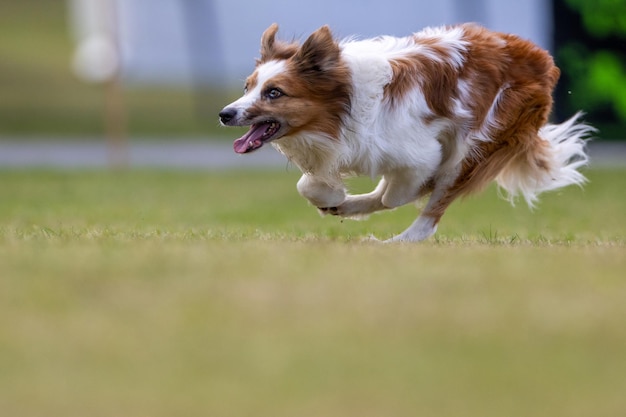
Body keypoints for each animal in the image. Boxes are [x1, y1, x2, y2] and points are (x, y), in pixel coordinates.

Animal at [218, 24, 588, 240]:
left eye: (274, 93)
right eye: (248, 87)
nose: (224, 114)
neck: (344, 107)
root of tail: (543, 58)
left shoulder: (422, 154)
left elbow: (397, 194)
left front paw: (341, 199)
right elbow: (310, 185)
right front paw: (333, 199)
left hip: (473, 149)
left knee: (426, 217)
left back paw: (393, 242)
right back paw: (350, 208)